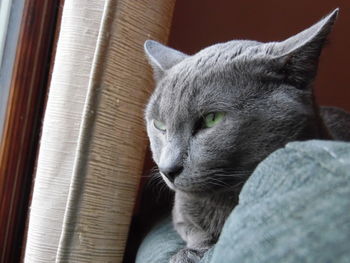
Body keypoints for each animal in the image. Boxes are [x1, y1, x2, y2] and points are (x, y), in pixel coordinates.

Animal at [144, 9, 348, 263]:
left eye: (212, 118)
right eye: (159, 125)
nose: (167, 169)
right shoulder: (180, 214)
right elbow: (193, 229)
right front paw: (190, 252)